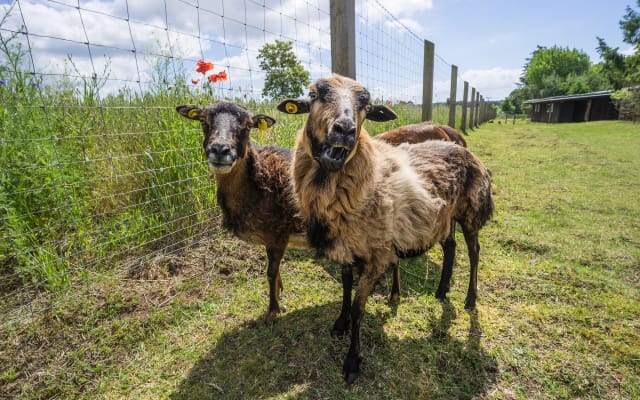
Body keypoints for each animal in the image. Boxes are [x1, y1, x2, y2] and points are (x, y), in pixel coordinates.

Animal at [278, 73, 492, 382]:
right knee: (450, 246)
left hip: (471, 213)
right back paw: (441, 291)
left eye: (366, 107)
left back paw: (470, 299)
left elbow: (359, 306)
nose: (345, 130)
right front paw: (340, 322)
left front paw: (352, 360)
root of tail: (461, 146)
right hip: (444, 216)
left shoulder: (376, 256)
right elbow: (345, 287)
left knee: (475, 252)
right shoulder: (346, 247)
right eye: (315, 94)